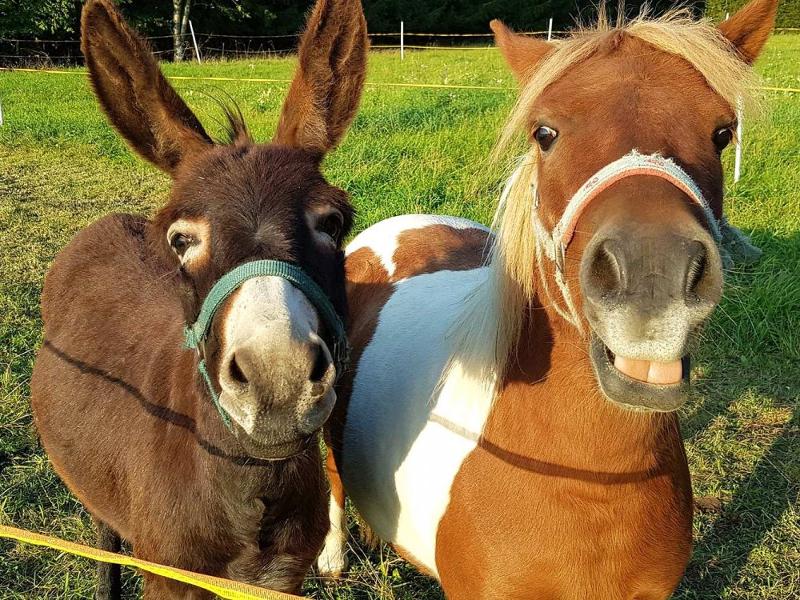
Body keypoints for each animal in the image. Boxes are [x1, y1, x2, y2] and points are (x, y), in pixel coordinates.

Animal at [29, 0, 368, 596]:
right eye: (181, 239)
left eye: (334, 222)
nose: (277, 381)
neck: (250, 492)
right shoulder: (169, 575)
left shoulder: (281, 577)